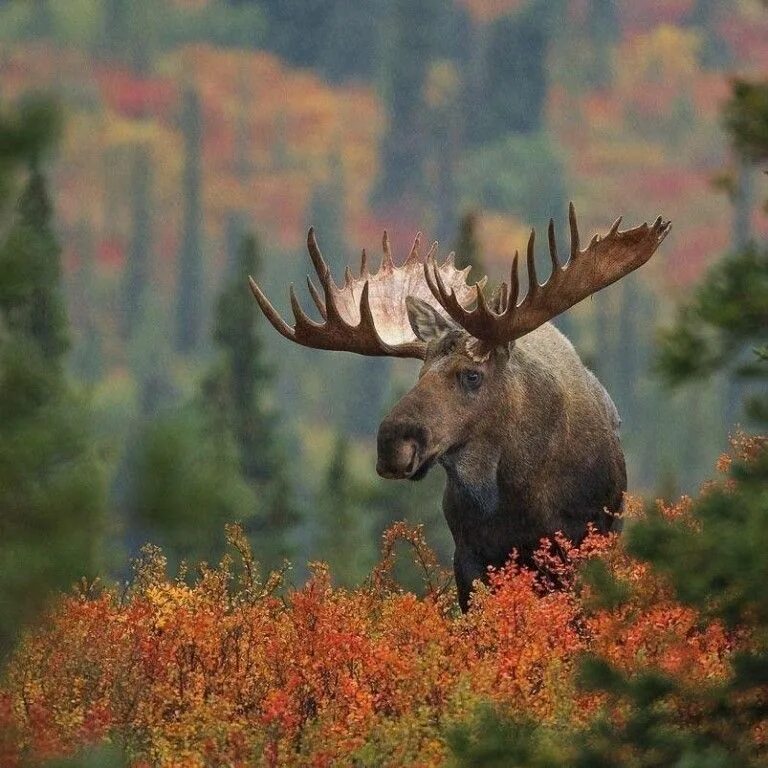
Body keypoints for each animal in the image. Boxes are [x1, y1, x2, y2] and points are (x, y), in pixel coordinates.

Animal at [249, 206, 668, 612]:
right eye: (420, 373)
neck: (519, 494)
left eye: (472, 375)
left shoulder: (580, 545)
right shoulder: (467, 556)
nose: (391, 443)